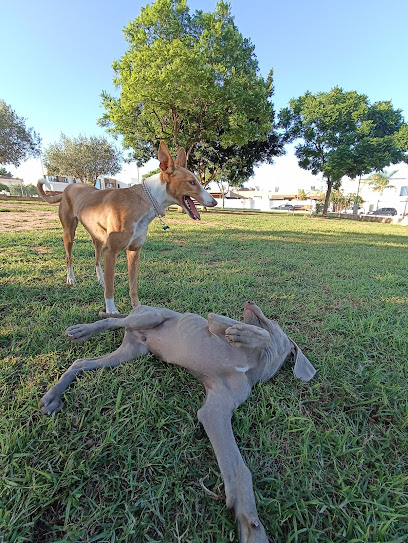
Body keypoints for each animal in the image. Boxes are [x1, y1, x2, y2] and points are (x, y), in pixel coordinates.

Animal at [37, 141, 217, 314]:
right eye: (191, 182)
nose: (214, 202)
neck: (145, 201)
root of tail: (68, 187)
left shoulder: (134, 251)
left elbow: (133, 287)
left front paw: (137, 308)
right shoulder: (111, 251)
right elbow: (111, 289)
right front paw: (111, 311)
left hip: (97, 237)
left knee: (96, 258)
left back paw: (101, 278)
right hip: (69, 233)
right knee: (69, 257)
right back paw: (71, 279)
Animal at [40, 302, 316, 543]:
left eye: (274, 321)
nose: (249, 302)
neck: (250, 362)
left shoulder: (215, 410)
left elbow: (238, 468)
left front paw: (250, 525)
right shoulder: (215, 321)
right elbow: (254, 333)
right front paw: (247, 334)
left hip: (131, 352)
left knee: (81, 362)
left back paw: (54, 395)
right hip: (150, 316)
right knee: (111, 321)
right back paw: (82, 331)